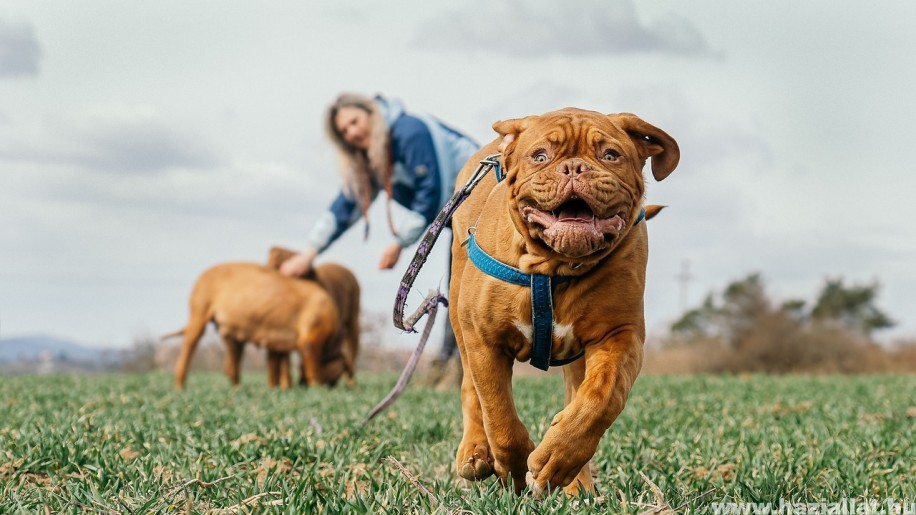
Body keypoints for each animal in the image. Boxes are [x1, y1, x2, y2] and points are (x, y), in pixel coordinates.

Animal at [450, 108, 680, 496]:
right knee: (470, 387)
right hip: (458, 312)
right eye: (540, 156)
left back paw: (576, 482)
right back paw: (475, 451)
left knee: (576, 394)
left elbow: (601, 397)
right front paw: (514, 471)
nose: (573, 168)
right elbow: (499, 416)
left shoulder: (620, 334)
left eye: (610, 155)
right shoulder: (485, 340)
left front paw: (556, 458)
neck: (553, 266)